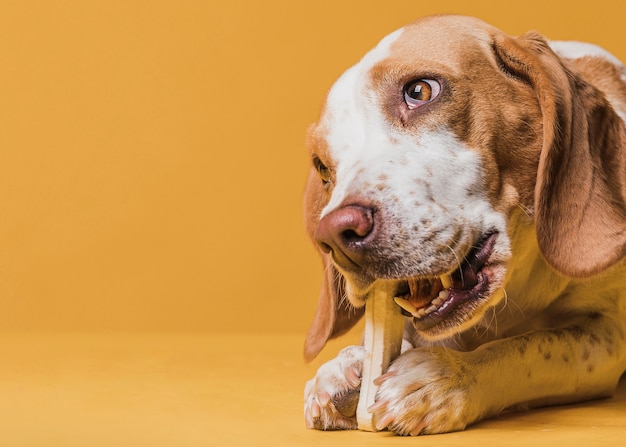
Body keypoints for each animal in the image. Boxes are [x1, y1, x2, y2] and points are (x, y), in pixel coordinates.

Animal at [302, 14, 624, 438]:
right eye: (323, 167)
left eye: (420, 91)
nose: (336, 236)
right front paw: (346, 365)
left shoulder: (608, 336)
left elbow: (531, 348)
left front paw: (448, 378)